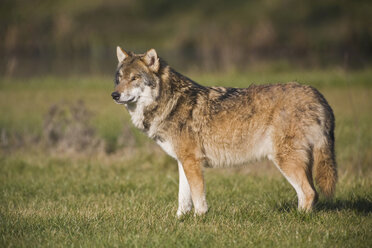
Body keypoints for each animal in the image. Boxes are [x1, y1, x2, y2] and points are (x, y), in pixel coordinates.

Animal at [110, 46, 338, 217]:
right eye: (119, 78)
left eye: (134, 78)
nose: (115, 95)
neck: (171, 103)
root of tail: (317, 95)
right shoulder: (183, 161)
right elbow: (183, 199)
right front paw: (179, 220)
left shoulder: (192, 162)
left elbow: (198, 198)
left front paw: (199, 219)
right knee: (309, 193)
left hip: (285, 160)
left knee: (309, 193)